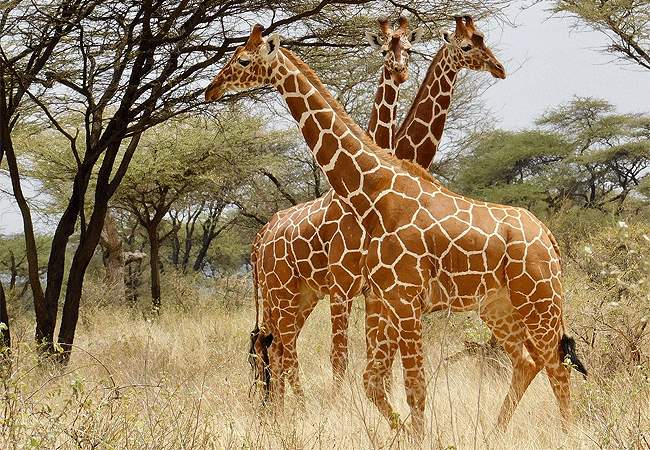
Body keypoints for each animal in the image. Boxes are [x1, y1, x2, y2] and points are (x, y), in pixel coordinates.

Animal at [205, 25, 586, 437]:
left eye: (244, 60)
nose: (212, 88)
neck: (374, 194)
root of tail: (549, 238)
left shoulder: (398, 298)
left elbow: (409, 383)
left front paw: (416, 435)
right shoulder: (384, 297)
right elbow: (374, 379)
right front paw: (397, 431)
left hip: (538, 300)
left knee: (556, 362)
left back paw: (565, 433)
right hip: (496, 305)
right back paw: (494, 431)